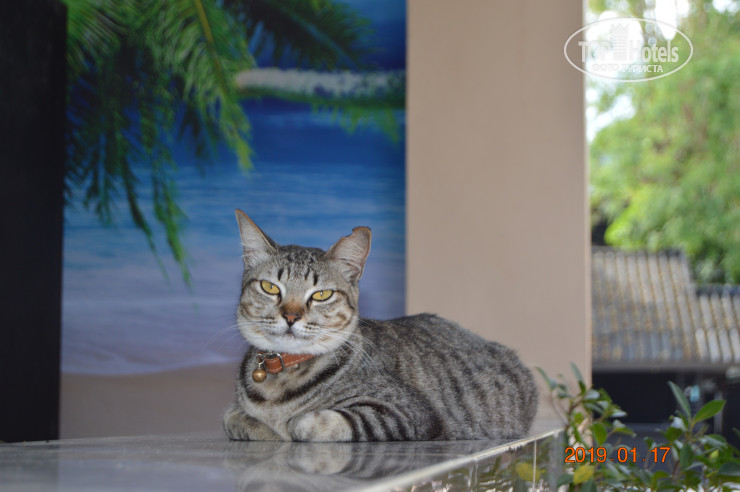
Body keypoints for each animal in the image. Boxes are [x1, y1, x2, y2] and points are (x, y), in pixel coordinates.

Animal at [223, 210, 538, 442]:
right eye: (269, 287)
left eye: (322, 294)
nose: (290, 316)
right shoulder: (236, 414)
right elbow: (234, 417)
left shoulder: (411, 414)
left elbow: (317, 422)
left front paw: (292, 425)